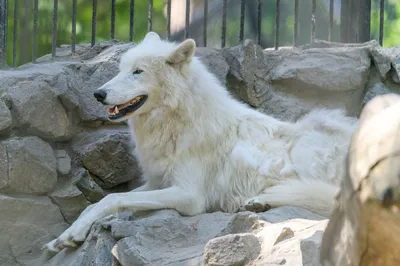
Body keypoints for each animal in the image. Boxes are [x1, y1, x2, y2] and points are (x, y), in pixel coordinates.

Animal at [43, 32, 356, 252]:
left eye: (138, 72)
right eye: (121, 69)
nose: (98, 94)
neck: (176, 123)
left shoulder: (188, 194)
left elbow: (113, 198)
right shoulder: (157, 182)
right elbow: (99, 203)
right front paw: (64, 236)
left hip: (307, 147)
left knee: (324, 198)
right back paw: (258, 202)